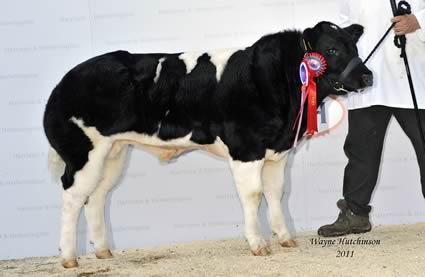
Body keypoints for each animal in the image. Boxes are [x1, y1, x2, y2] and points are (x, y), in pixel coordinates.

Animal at [44, 20, 372, 266]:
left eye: (354, 47)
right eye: (331, 49)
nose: (368, 77)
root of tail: (64, 82)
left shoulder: (276, 153)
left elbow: (276, 194)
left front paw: (286, 239)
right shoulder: (245, 149)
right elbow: (254, 195)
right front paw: (258, 245)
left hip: (113, 152)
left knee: (97, 195)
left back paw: (103, 251)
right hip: (82, 151)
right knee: (72, 197)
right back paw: (70, 259)